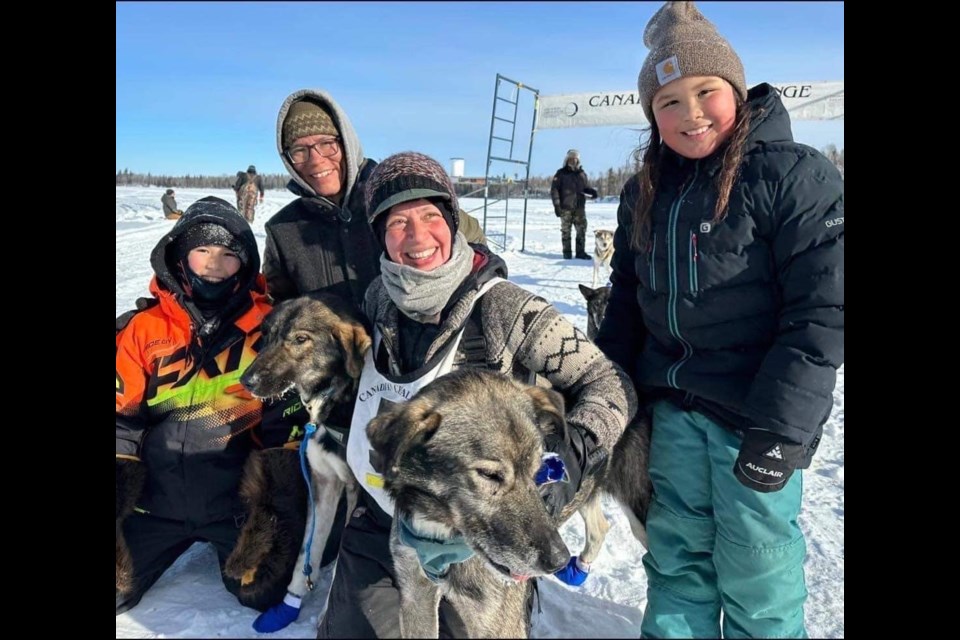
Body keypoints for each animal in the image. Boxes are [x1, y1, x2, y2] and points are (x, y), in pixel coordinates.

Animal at [229, 290, 372, 608]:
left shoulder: (358, 493)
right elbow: (307, 550)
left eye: (300, 338)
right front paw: (291, 600)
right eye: (267, 334)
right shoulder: (323, 481)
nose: (247, 381)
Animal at [368, 368, 652, 636]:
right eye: (489, 474)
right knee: (600, 527)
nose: (558, 559)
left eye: (538, 468)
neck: (440, 532)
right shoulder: (416, 597)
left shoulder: (499, 623)